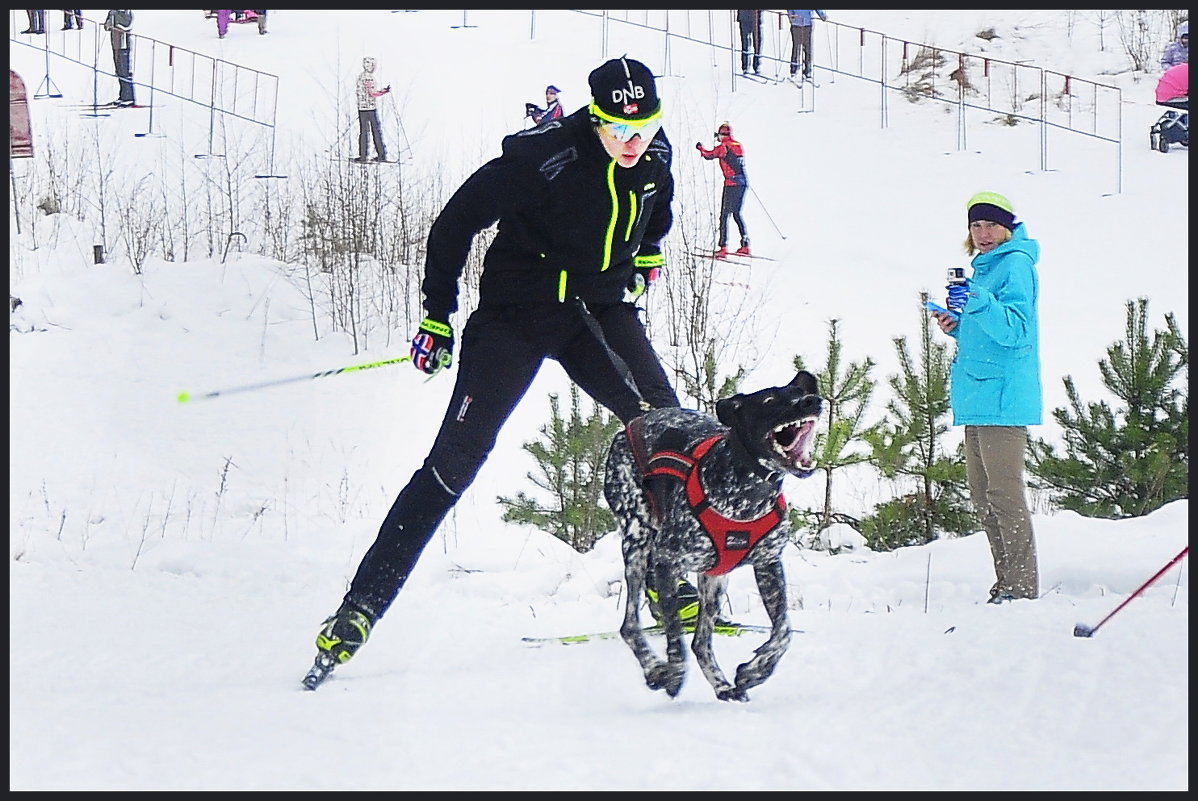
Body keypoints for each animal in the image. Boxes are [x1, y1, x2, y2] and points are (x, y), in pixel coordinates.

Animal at [603, 368, 819, 699]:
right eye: (769, 400)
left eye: (800, 393)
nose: (812, 401)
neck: (746, 497)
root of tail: (631, 425)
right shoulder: (666, 562)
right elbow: (675, 635)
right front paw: (674, 673)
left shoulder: (768, 564)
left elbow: (784, 631)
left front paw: (755, 671)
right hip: (637, 543)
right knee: (630, 626)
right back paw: (655, 668)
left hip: (715, 581)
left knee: (701, 641)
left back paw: (722, 685)